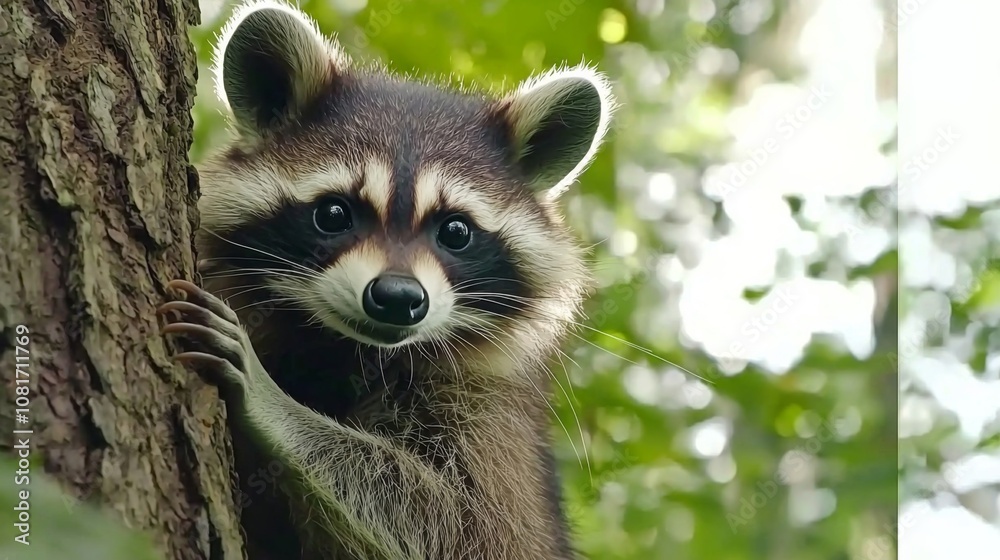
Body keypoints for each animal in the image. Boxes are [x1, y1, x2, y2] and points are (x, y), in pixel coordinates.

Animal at [157, 1, 615, 558]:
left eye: (456, 231)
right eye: (334, 214)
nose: (397, 298)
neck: (346, 348)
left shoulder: (491, 414)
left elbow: (461, 525)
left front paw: (274, 407)